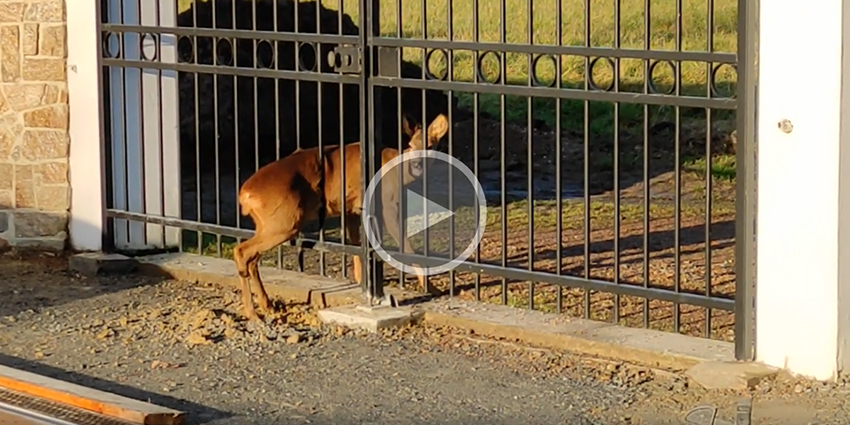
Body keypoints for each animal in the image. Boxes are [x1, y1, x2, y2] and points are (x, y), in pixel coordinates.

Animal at [229, 112, 448, 318]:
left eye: (430, 145)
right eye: (410, 144)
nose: (417, 165)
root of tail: (245, 196)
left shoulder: (352, 208)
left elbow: (358, 249)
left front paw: (363, 287)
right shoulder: (386, 204)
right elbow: (407, 248)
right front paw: (432, 289)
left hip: (268, 223)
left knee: (252, 258)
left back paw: (267, 305)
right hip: (284, 222)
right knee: (241, 251)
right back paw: (253, 312)